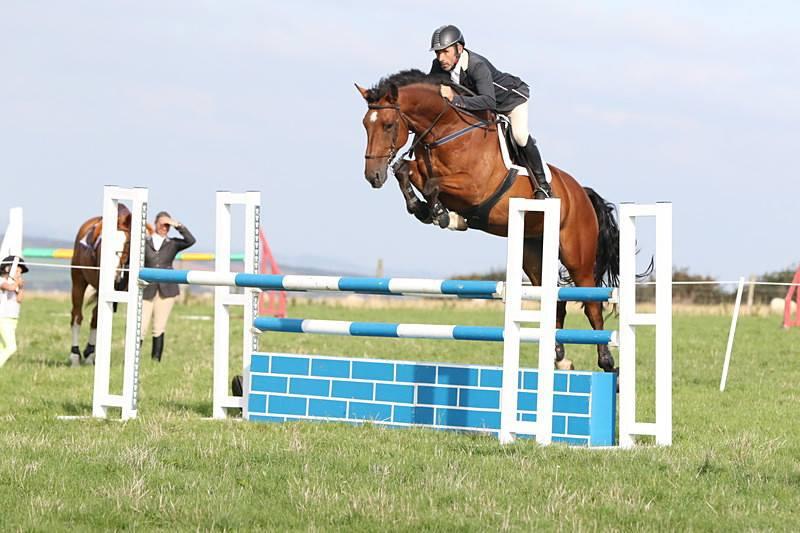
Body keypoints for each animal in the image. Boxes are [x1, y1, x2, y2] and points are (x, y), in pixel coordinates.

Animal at [69, 204, 134, 366]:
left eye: (127, 243)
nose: (114, 273)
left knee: (93, 317)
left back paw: (89, 353)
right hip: (78, 282)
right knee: (77, 316)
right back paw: (75, 355)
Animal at [360, 68, 620, 372]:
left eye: (388, 125)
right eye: (365, 125)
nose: (373, 176)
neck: (446, 131)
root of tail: (581, 193)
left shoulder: (474, 188)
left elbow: (432, 185)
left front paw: (441, 214)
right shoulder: (420, 170)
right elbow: (404, 170)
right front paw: (423, 209)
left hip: (577, 256)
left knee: (592, 304)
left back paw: (606, 360)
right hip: (534, 252)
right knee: (554, 302)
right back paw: (560, 357)